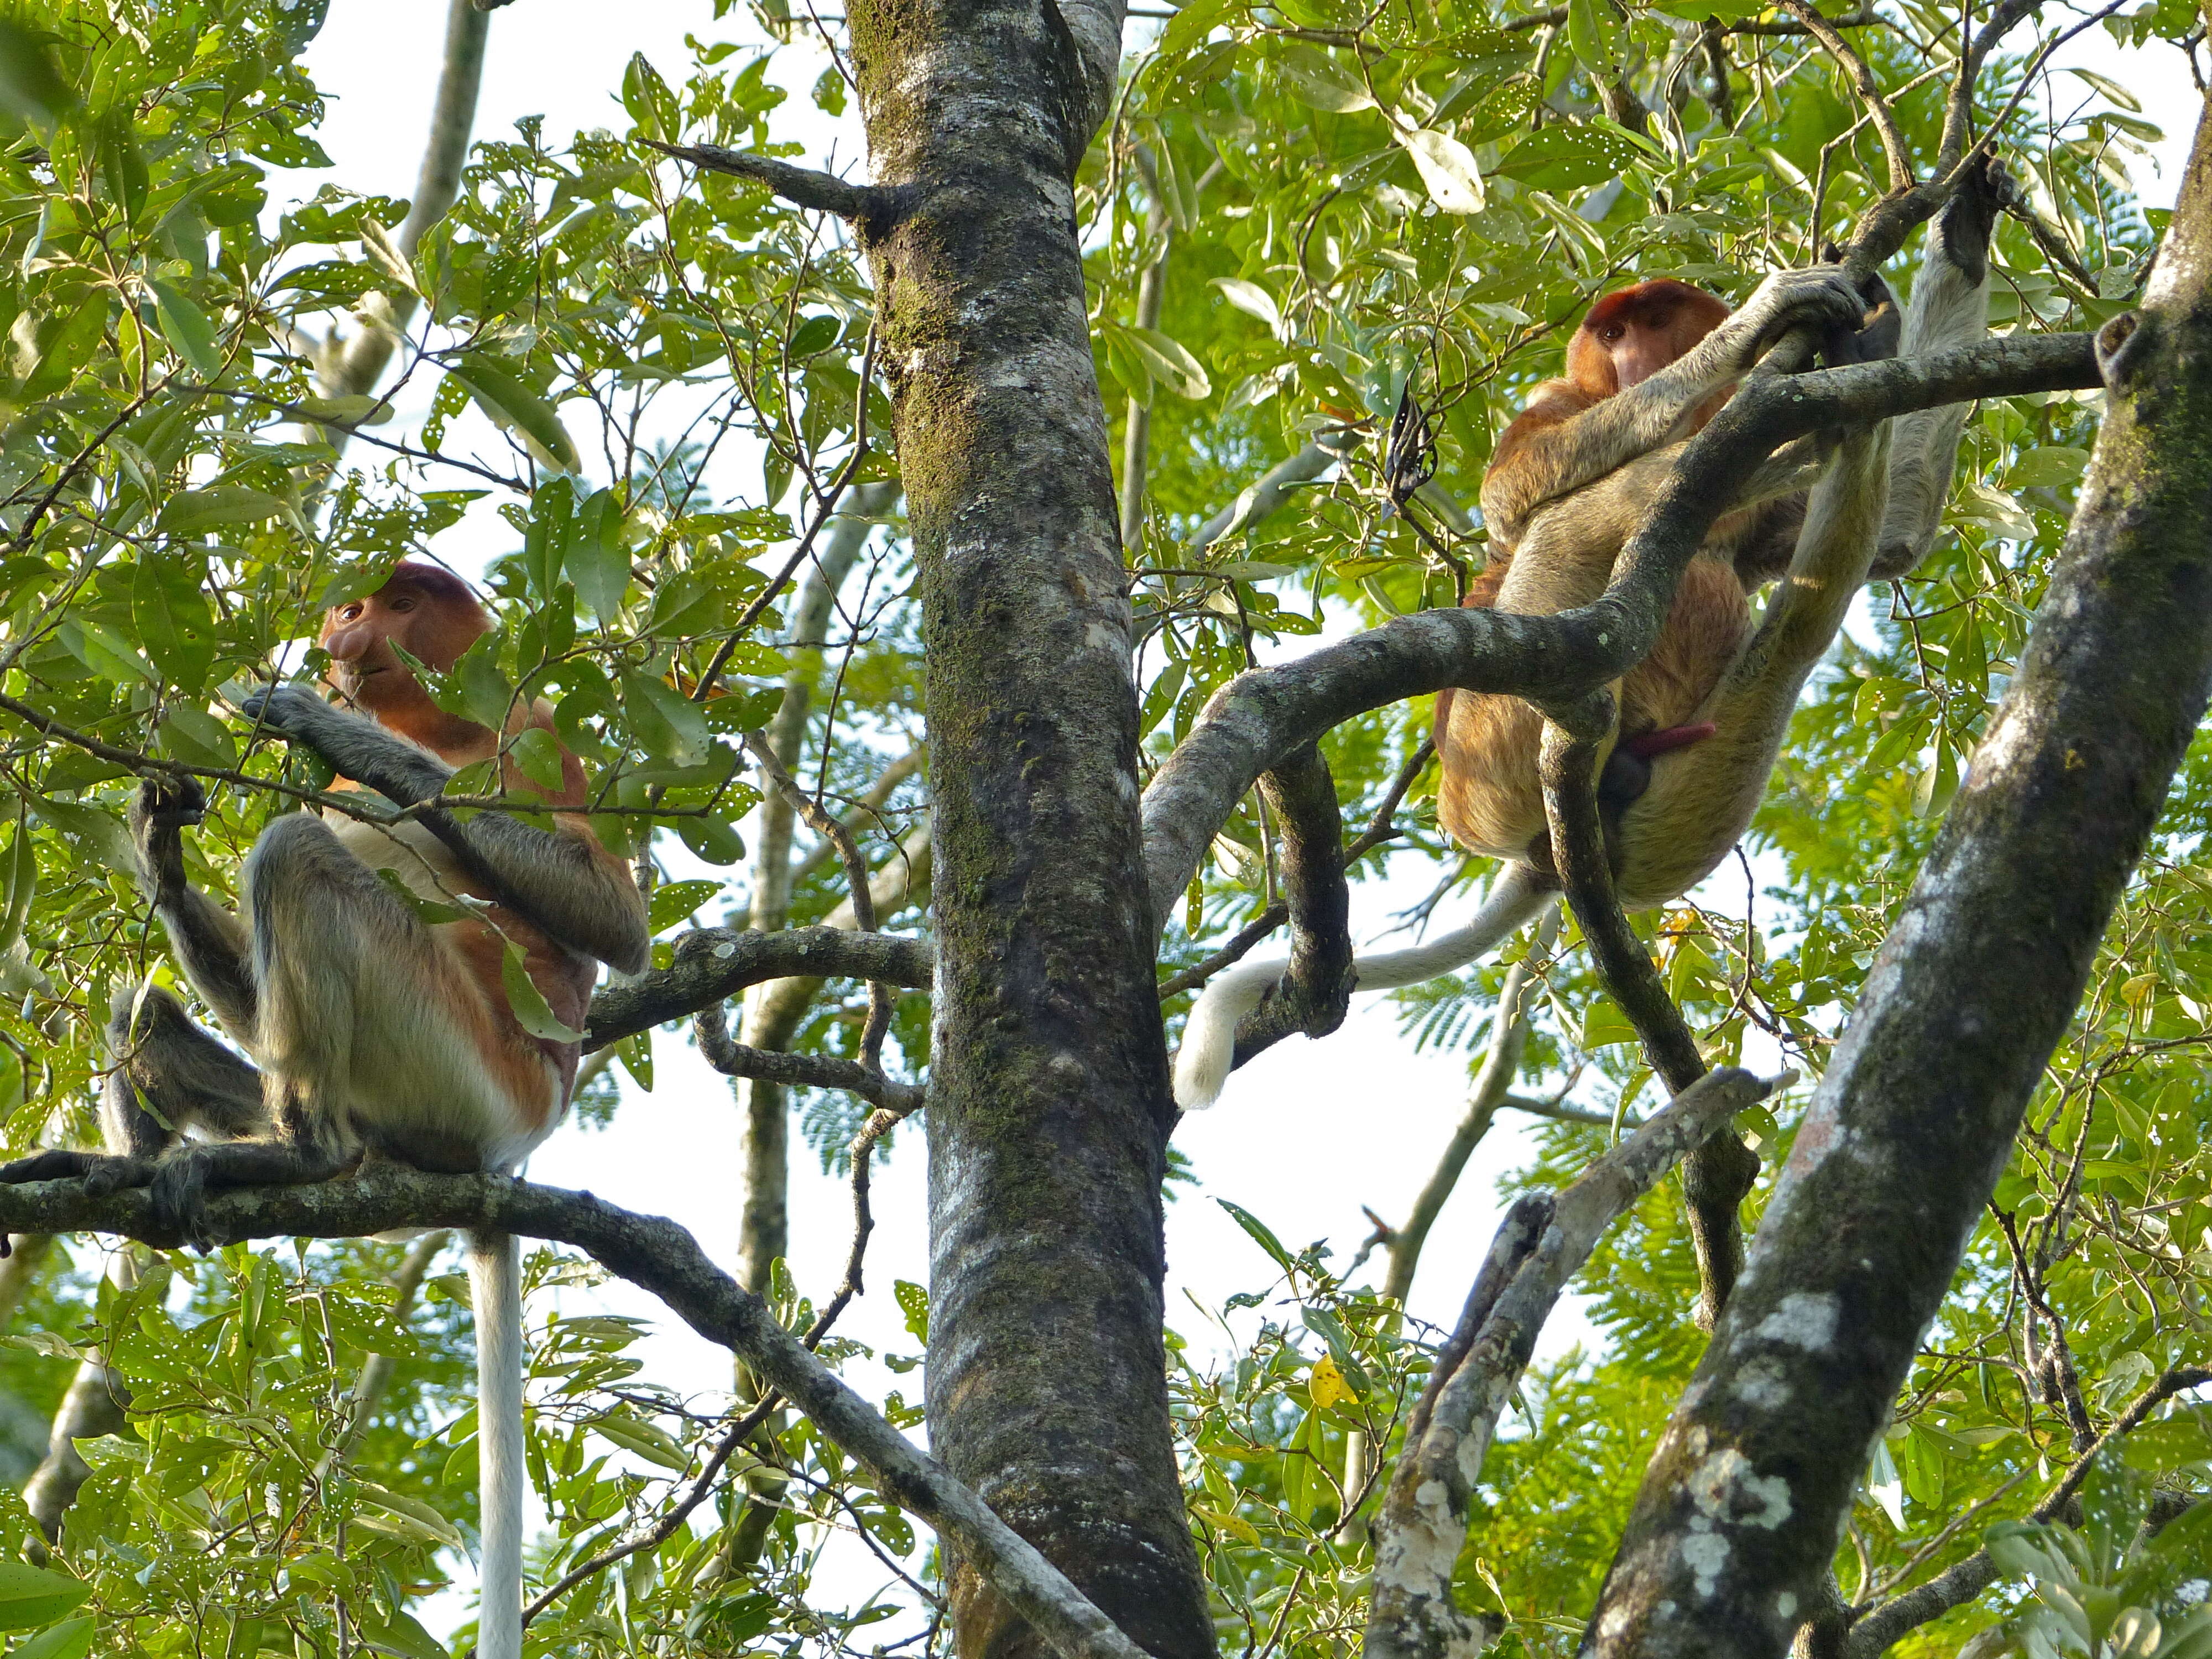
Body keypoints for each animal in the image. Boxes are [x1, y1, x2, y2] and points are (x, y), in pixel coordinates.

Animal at [4, 562, 646, 1659]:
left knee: (295, 850)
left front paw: (324, 727)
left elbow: (617, 921)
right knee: (145, 1008)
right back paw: (148, 1167)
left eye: (404, 603)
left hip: (458, 1062)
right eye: (359, 605)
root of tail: (516, 1141)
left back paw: (299, 1156)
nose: (347, 635)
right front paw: (156, 835)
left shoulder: (534, 725)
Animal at [1177, 156, 2026, 1119]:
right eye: (1613, 332)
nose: (1628, 358)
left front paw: (1961, 237)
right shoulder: (1557, 400)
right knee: (1591, 522)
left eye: (1652, 321)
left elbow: (1901, 540)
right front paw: (1764, 322)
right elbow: (1518, 492)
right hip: (1493, 748)